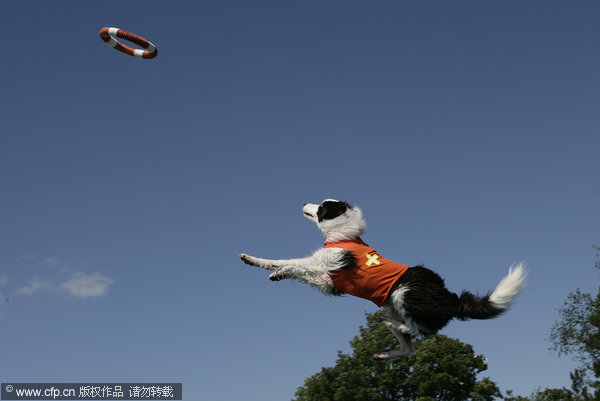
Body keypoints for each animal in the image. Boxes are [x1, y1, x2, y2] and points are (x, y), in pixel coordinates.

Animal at [239, 198, 524, 358]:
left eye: (320, 206)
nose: (302, 203)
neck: (345, 235)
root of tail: (449, 299)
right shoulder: (329, 282)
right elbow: (292, 269)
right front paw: (272, 271)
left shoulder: (326, 262)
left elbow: (292, 262)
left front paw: (260, 262)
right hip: (393, 304)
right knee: (410, 349)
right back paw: (385, 352)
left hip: (404, 294)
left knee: (420, 331)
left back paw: (392, 325)